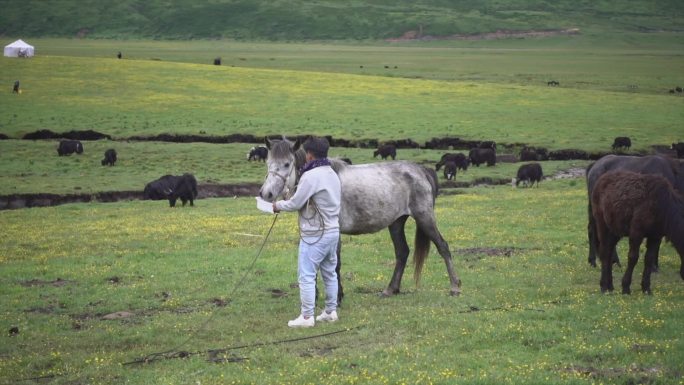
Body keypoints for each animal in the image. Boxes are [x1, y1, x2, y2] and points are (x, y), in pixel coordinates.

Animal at [260, 138, 462, 296]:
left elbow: (335, 264)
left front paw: (338, 296)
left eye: (287, 164)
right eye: (268, 163)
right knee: (402, 252)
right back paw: (391, 289)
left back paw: (455, 287)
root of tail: (421, 170)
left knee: (443, 247)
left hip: (424, 218)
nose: (266, 194)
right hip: (396, 223)